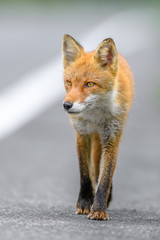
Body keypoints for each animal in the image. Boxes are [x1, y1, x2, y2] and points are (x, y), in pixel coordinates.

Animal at [62, 34, 134, 220]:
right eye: (69, 82)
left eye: (89, 84)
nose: (66, 105)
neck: (96, 116)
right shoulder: (82, 133)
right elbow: (85, 174)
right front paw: (85, 203)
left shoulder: (112, 137)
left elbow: (105, 176)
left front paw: (99, 209)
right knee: (93, 169)